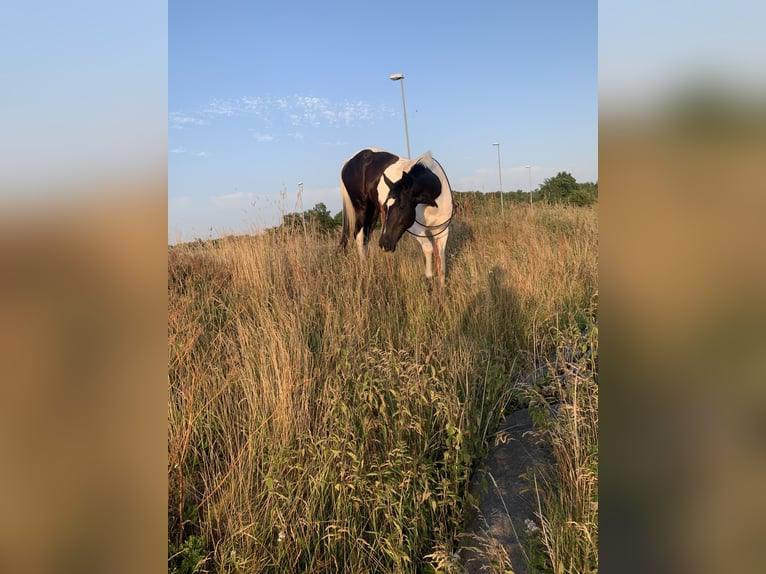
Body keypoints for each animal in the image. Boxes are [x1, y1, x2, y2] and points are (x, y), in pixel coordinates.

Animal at [340, 147, 452, 284]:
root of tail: (348, 161)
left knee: (366, 238)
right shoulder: (415, 228)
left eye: (402, 206)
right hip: (362, 208)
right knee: (360, 237)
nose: (384, 244)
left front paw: (441, 287)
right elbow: (428, 247)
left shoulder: (442, 231)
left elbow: (441, 262)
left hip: (373, 211)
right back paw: (365, 272)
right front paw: (429, 275)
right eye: (386, 206)